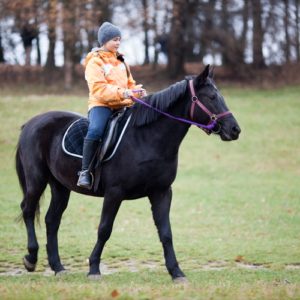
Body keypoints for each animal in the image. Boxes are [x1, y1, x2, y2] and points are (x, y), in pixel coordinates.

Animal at [16, 64, 241, 282]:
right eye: (211, 97)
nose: (235, 129)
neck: (146, 139)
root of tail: (32, 123)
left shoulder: (161, 192)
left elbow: (166, 233)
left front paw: (176, 272)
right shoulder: (114, 193)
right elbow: (104, 229)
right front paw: (94, 269)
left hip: (60, 186)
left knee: (52, 220)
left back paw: (58, 267)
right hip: (36, 180)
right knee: (28, 210)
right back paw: (31, 258)